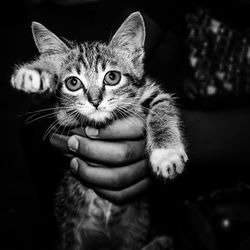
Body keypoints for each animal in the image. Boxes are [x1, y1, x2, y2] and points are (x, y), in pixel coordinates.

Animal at [11, 11, 188, 250]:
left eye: (112, 77)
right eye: (73, 83)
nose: (95, 101)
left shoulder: (148, 92)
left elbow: (162, 106)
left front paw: (166, 153)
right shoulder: (58, 115)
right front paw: (38, 71)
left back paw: (161, 241)